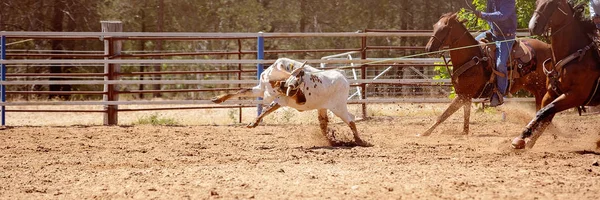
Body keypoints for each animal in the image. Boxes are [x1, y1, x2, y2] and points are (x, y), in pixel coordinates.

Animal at [420, 13, 552, 137]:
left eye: (445, 28)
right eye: (434, 26)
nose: (428, 48)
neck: (471, 58)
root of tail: (548, 47)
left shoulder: (464, 94)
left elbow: (444, 115)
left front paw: (424, 133)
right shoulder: (466, 97)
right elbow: (465, 119)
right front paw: (464, 132)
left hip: (541, 88)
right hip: (534, 88)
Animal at [510, 0, 600, 148]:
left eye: (552, 3)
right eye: (537, 2)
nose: (532, 25)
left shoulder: (575, 96)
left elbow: (543, 112)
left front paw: (524, 138)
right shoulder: (551, 93)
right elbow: (543, 113)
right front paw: (524, 138)